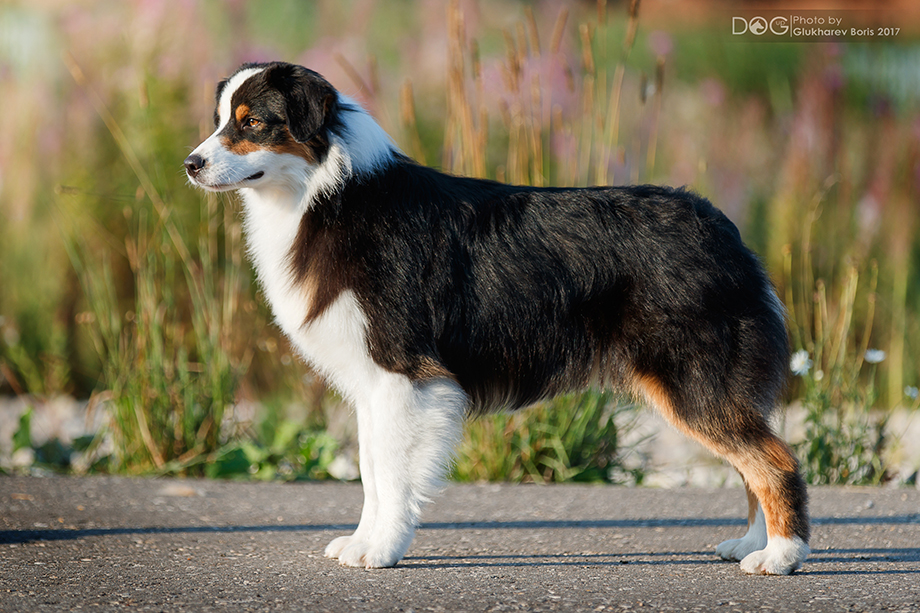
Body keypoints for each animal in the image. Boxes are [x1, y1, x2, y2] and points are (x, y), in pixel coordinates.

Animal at [183, 62, 808, 572]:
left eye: (253, 123)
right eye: (219, 121)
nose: (190, 164)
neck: (326, 194)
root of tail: (725, 230)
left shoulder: (405, 374)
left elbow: (391, 474)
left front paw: (380, 550)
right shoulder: (373, 384)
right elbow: (370, 472)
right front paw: (362, 541)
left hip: (693, 382)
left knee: (774, 459)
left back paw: (779, 556)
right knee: (753, 460)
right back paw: (749, 544)